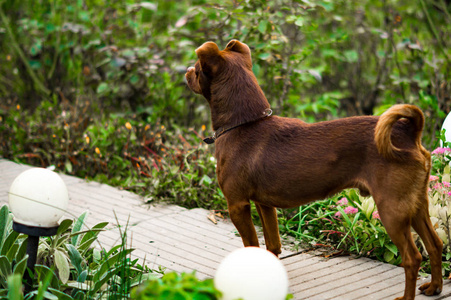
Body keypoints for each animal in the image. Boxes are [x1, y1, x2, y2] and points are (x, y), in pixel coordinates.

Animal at [185, 40, 444, 300]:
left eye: (197, 69)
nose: (186, 71)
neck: (245, 124)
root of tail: (408, 133)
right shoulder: (264, 204)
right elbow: (272, 244)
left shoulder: (237, 205)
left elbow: (252, 245)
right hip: (416, 205)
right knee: (435, 244)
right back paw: (435, 287)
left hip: (392, 210)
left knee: (412, 257)